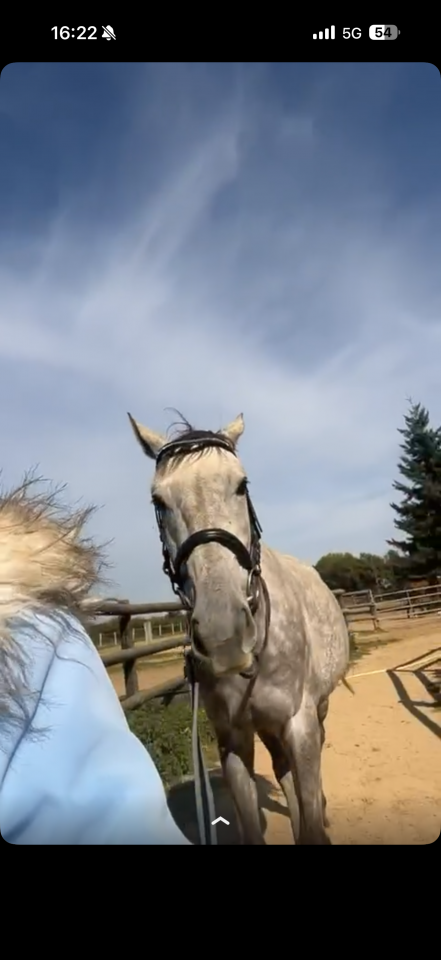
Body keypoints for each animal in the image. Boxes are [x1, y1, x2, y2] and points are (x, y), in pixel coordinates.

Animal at [128, 411, 350, 844]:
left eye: (241, 485)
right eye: (158, 501)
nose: (224, 636)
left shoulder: (300, 725)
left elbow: (311, 812)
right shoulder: (233, 740)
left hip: (319, 707)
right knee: (282, 771)